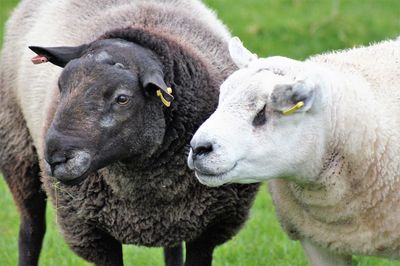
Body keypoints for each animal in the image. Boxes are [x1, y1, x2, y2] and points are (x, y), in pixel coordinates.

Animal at [0, 1, 260, 264]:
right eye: (61, 86)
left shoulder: (210, 228)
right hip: (18, 149)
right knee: (32, 229)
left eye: (122, 98)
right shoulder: (92, 234)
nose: (56, 158)